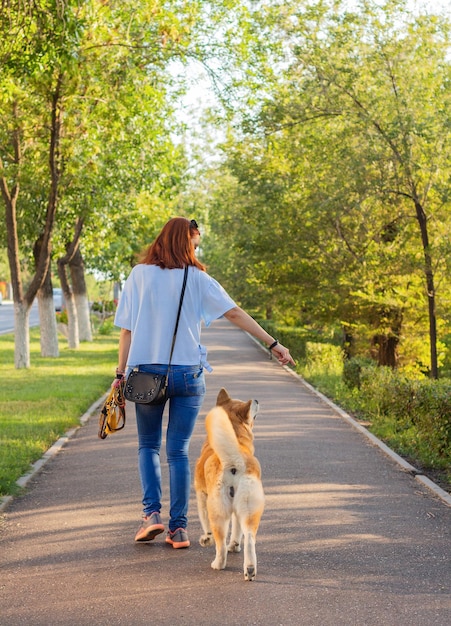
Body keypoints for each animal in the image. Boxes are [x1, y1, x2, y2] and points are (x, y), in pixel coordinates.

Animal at [194, 386, 264, 580]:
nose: (256, 399)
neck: (237, 437)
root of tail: (235, 459)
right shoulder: (237, 511)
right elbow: (237, 530)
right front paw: (234, 545)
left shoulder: (201, 496)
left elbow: (205, 524)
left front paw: (206, 539)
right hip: (249, 508)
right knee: (249, 539)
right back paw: (249, 569)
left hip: (218, 511)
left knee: (220, 545)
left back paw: (218, 564)